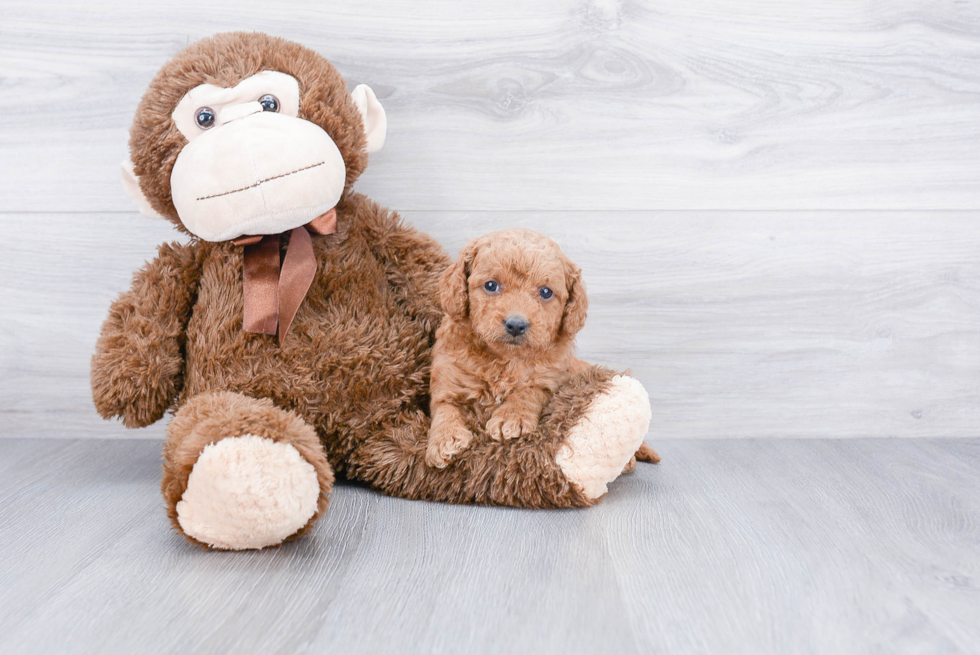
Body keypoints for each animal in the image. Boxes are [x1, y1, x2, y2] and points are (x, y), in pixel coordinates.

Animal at [424, 228, 664, 468]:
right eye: (491, 285)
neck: (506, 360)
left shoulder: (549, 380)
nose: (516, 325)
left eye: (546, 292)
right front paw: (445, 440)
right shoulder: (448, 380)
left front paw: (511, 417)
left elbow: (529, 391)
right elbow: (445, 409)